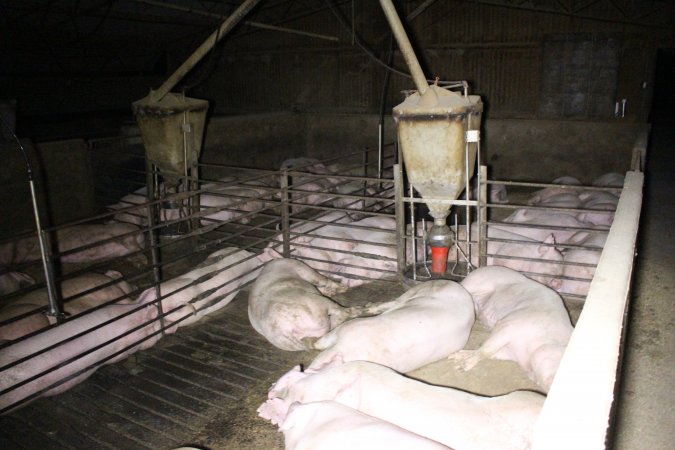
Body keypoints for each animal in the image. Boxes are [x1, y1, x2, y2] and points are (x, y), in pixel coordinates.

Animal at [308, 282, 476, 372]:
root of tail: (460, 287)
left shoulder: (348, 328)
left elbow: (324, 342)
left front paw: (314, 344)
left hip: (418, 291)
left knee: (394, 302)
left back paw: (367, 307)